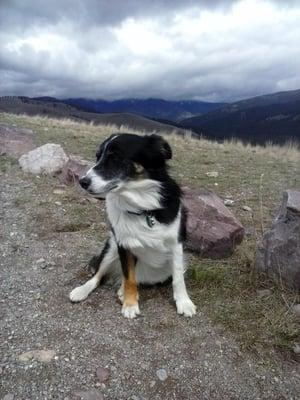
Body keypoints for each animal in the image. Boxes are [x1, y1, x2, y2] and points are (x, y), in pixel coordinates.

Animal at [70, 134, 197, 318]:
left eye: (115, 158)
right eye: (98, 157)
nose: (82, 181)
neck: (143, 207)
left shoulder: (176, 243)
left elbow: (178, 278)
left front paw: (184, 303)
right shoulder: (124, 245)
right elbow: (129, 278)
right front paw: (130, 305)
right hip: (111, 248)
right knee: (99, 276)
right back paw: (82, 290)